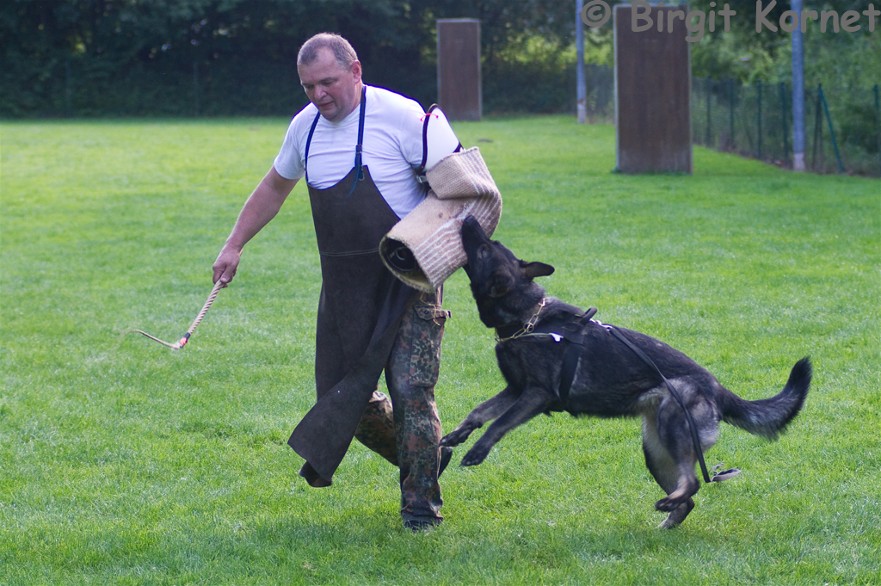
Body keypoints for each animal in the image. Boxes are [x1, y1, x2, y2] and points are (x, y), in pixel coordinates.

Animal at [440, 217, 812, 528]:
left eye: (484, 248)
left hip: (672, 428)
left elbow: (499, 423)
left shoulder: (535, 395)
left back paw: (668, 505)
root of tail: (717, 388)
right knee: (689, 496)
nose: (468, 218)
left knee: (692, 482)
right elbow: (480, 411)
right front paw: (457, 435)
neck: (528, 318)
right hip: (655, 451)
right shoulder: (515, 391)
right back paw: (666, 521)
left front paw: (477, 450)